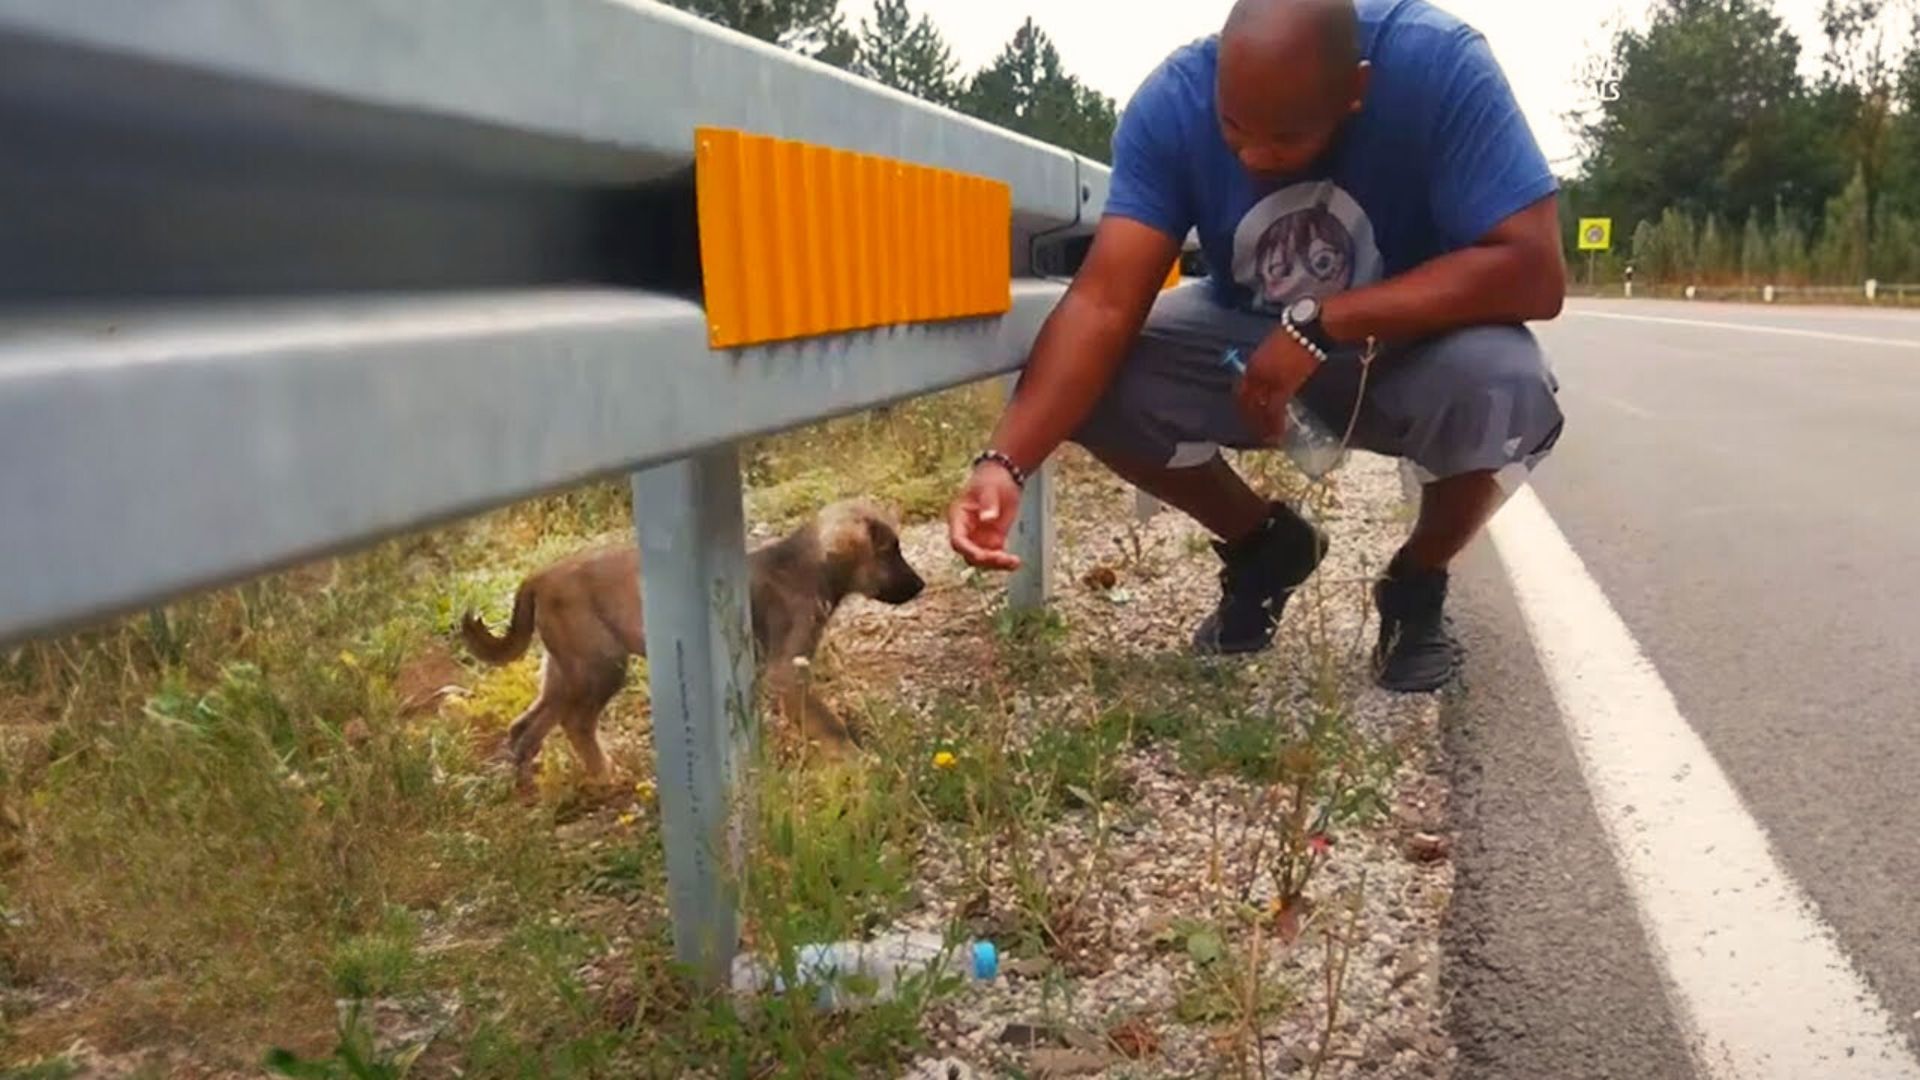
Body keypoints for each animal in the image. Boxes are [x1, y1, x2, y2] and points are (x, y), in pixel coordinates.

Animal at [456, 499, 921, 791]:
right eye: (890, 550)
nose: (921, 586)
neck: (808, 567)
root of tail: (537, 577)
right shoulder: (787, 671)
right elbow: (827, 723)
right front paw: (858, 761)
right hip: (599, 666)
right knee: (573, 722)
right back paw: (598, 777)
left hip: (566, 669)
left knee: (526, 727)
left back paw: (540, 786)